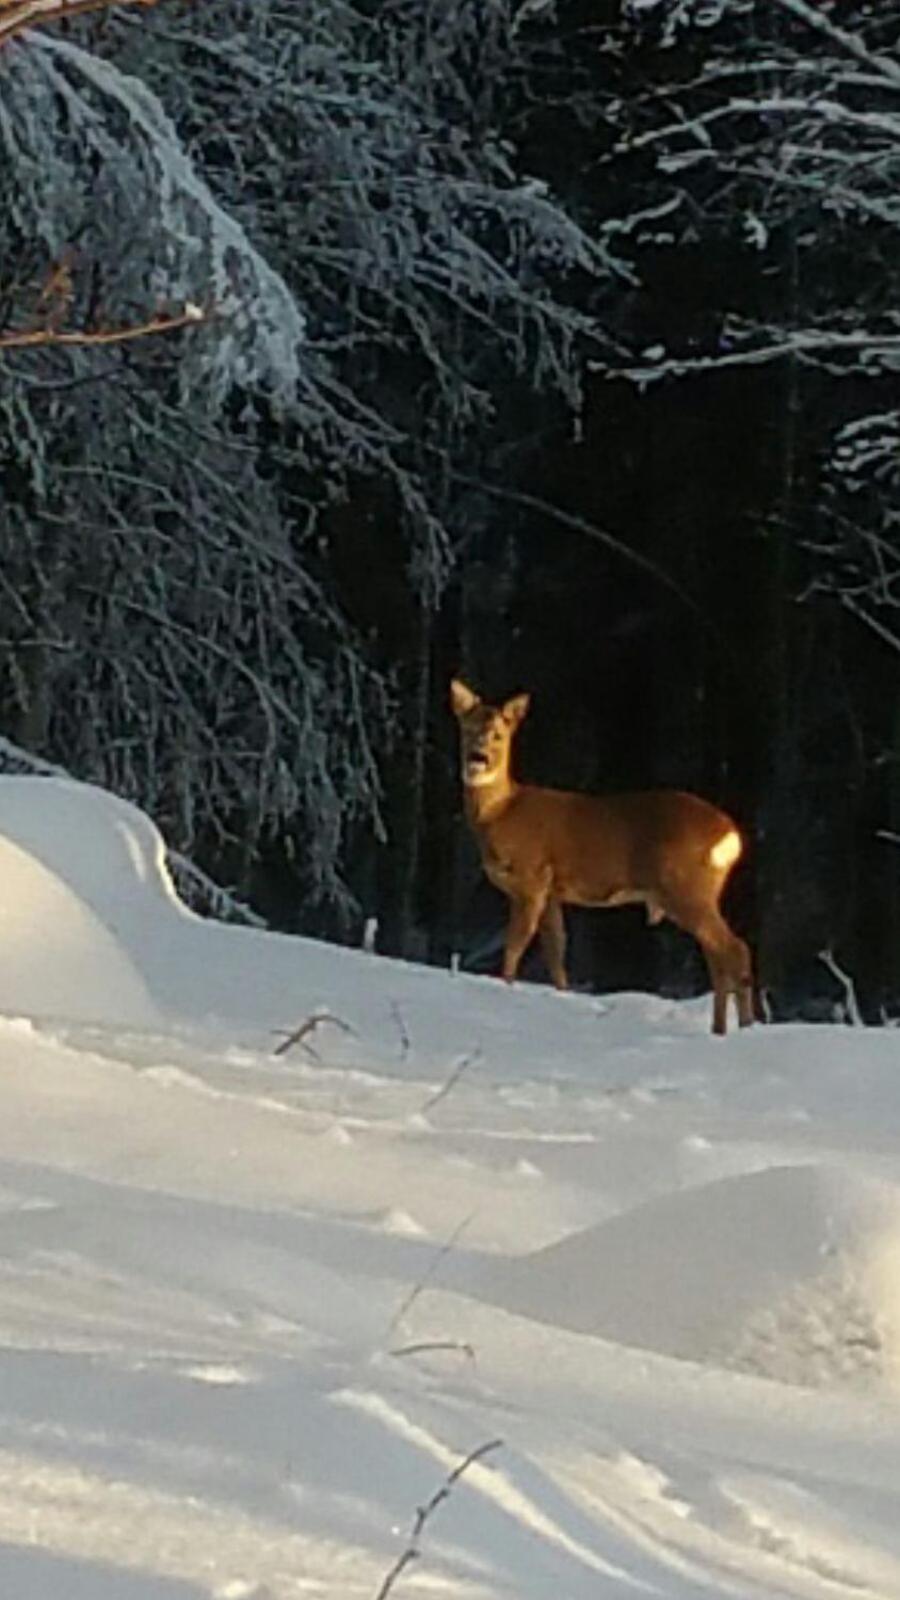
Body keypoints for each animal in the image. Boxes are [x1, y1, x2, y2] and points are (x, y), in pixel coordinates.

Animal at [448, 678, 749, 1036]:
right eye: (467, 728)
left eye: (498, 734)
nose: (477, 758)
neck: (500, 813)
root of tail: (732, 836)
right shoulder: (552, 892)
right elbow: (556, 952)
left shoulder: (531, 878)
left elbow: (514, 945)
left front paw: (504, 988)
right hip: (699, 893)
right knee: (719, 957)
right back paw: (722, 1029)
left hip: (685, 886)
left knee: (735, 950)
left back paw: (746, 1027)